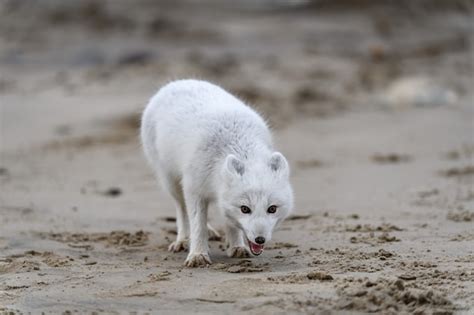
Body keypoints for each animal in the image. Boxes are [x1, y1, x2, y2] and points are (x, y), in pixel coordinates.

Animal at [141, 79, 292, 266]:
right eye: (245, 209)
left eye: (272, 209)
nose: (260, 239)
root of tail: (177, 82)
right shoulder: (193, 188)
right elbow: (197, 224)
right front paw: (197, 255)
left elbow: (230, 223)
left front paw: (237, 247)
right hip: (170, 181)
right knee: (182, 210)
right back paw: (182, 240)